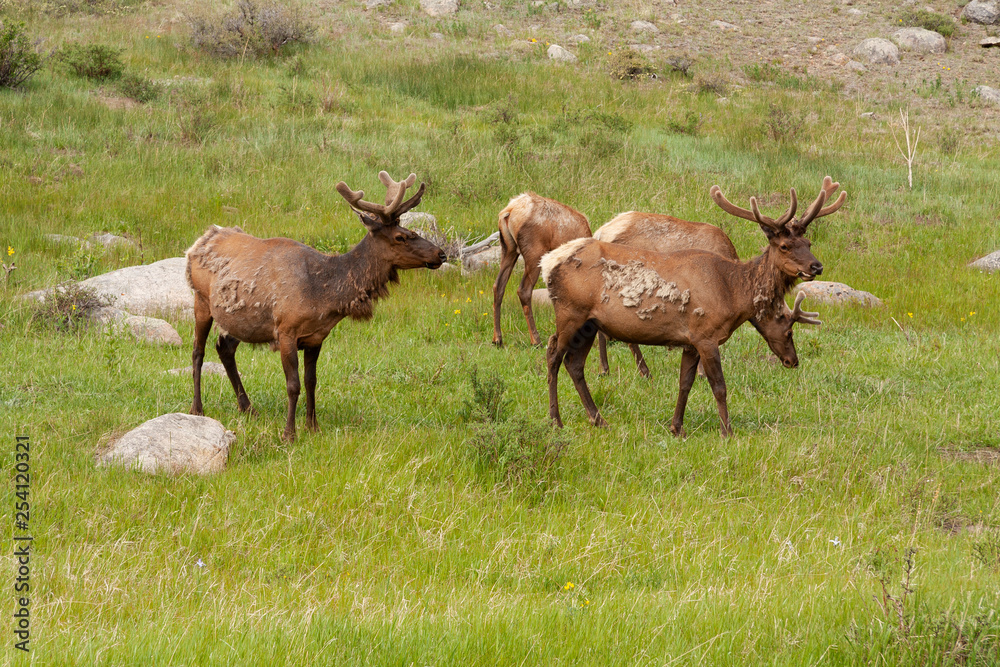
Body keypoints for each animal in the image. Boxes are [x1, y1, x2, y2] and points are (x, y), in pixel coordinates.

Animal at [185, 171, 446, 442]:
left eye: (410, 229)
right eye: (400, 237)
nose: (441, 254)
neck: (323, 295)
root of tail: (201, 240)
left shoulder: (316, 336)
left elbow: (311, 381)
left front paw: (313, 426)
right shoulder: (286, 330)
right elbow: (293, 385)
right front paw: (289, 434)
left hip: (240, 320)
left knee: (224, 347)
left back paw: (248, 408)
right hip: (201, 300)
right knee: (197, 351)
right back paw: (197, 408)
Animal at [492, 192, 591, 347]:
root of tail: (508, 212)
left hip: (508, 249)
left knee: (498, 286)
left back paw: (497, 339)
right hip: (534, 253)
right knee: (523, 290)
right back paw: (535, 340)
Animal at [541, 177, 845, 436]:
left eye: (808, 242)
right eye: (784, 246)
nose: (816, 266)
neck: (733, 292)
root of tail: (547, 262)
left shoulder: (690, 340)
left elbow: (684, 383)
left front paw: (677, 427)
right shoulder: (706, 335)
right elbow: (719, 386)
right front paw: (727, 431)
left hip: (590, 323)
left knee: (575, 363)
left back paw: (598, 419)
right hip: (570, 313)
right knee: (553, 354)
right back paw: (556, 420)